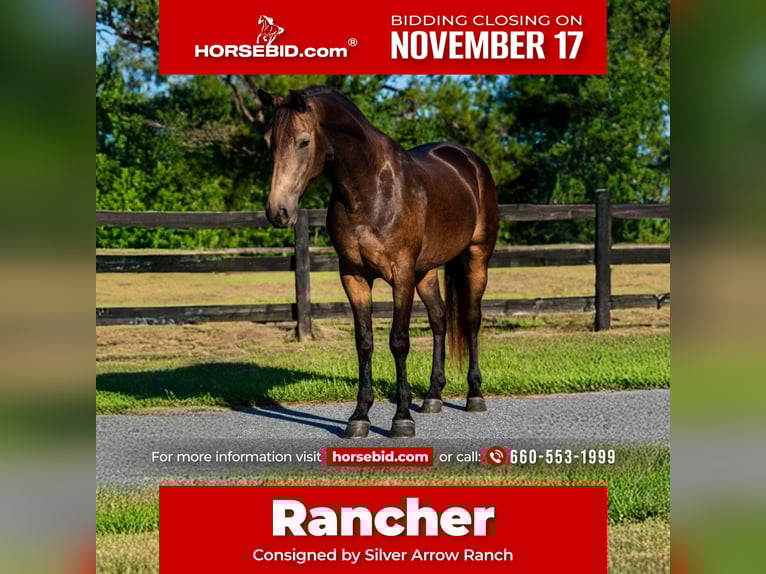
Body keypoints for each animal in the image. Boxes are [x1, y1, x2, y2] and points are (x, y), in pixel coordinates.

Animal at [257, 86, 499, 439]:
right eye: (268, 142)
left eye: (303, 141)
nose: (278, 212)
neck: (369, 191)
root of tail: (469, 161)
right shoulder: (354, 276)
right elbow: (364, 342)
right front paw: (359, 416)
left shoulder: (401, 275)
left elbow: (399, 341)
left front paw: (401, 418)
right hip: (425, 272)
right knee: (439, 320)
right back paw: (433, 396)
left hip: (476, 258)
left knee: (470, 319)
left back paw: (475, 395)